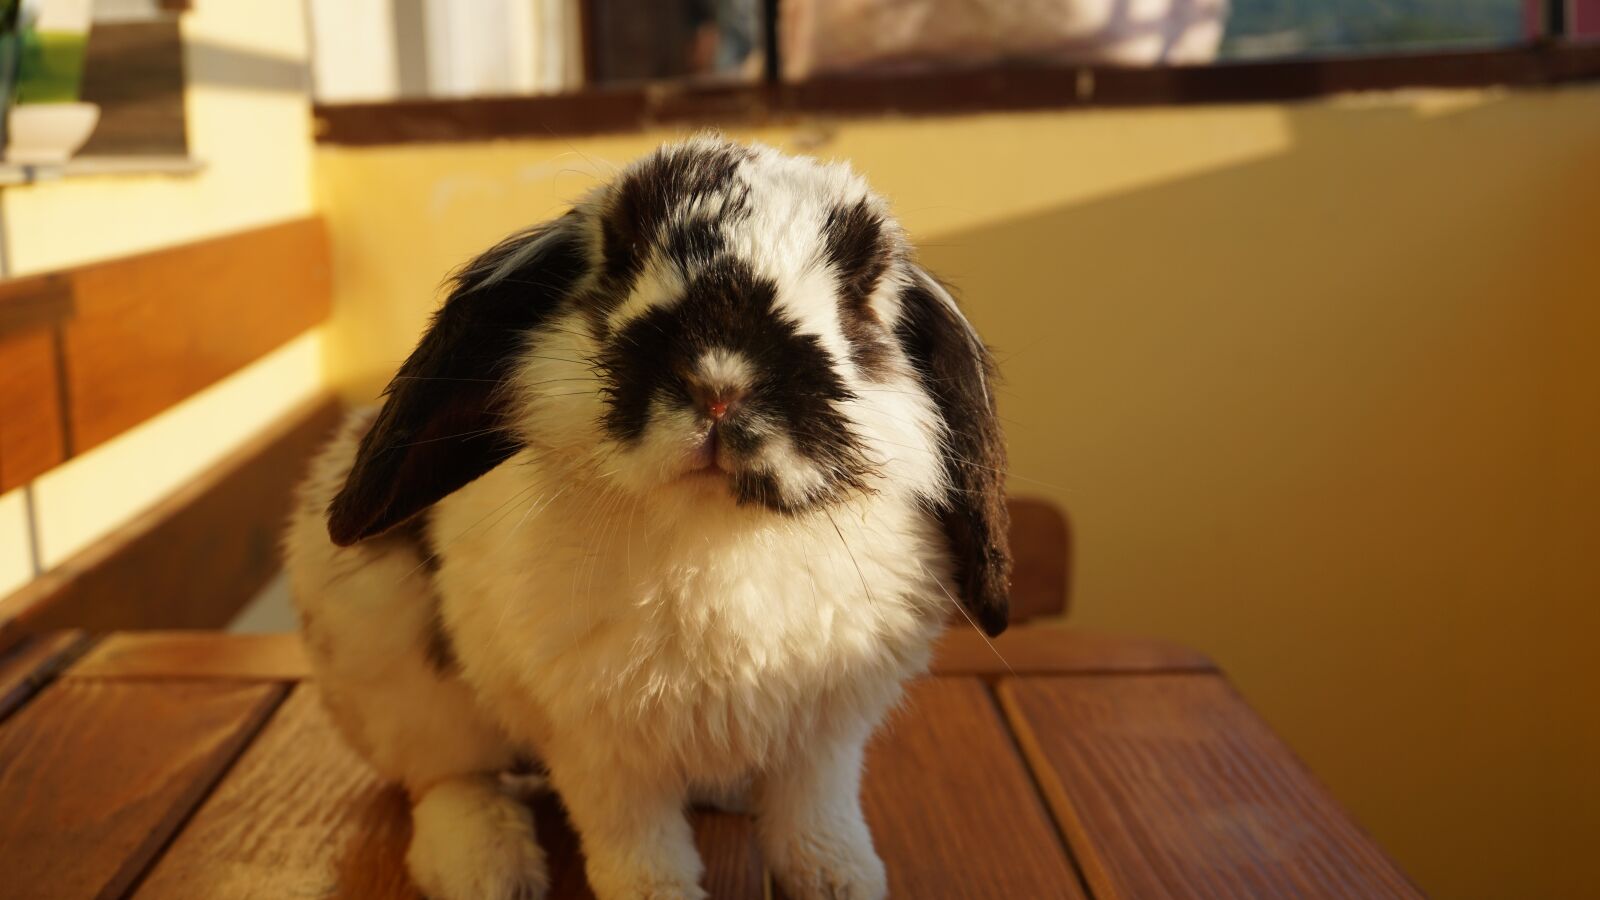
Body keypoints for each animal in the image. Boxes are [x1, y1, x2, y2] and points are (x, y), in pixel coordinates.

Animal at [283, 135, 1010, 900]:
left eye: (859, 297)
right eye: (620, 258)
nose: (719, 385)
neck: (716, 530)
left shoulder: (822, 738)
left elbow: (817, 819)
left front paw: (843, 883)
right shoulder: (600, 749)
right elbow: (639, 848)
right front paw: (657, 891)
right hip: (394, 670)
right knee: (447, 779)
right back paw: (488, 867)